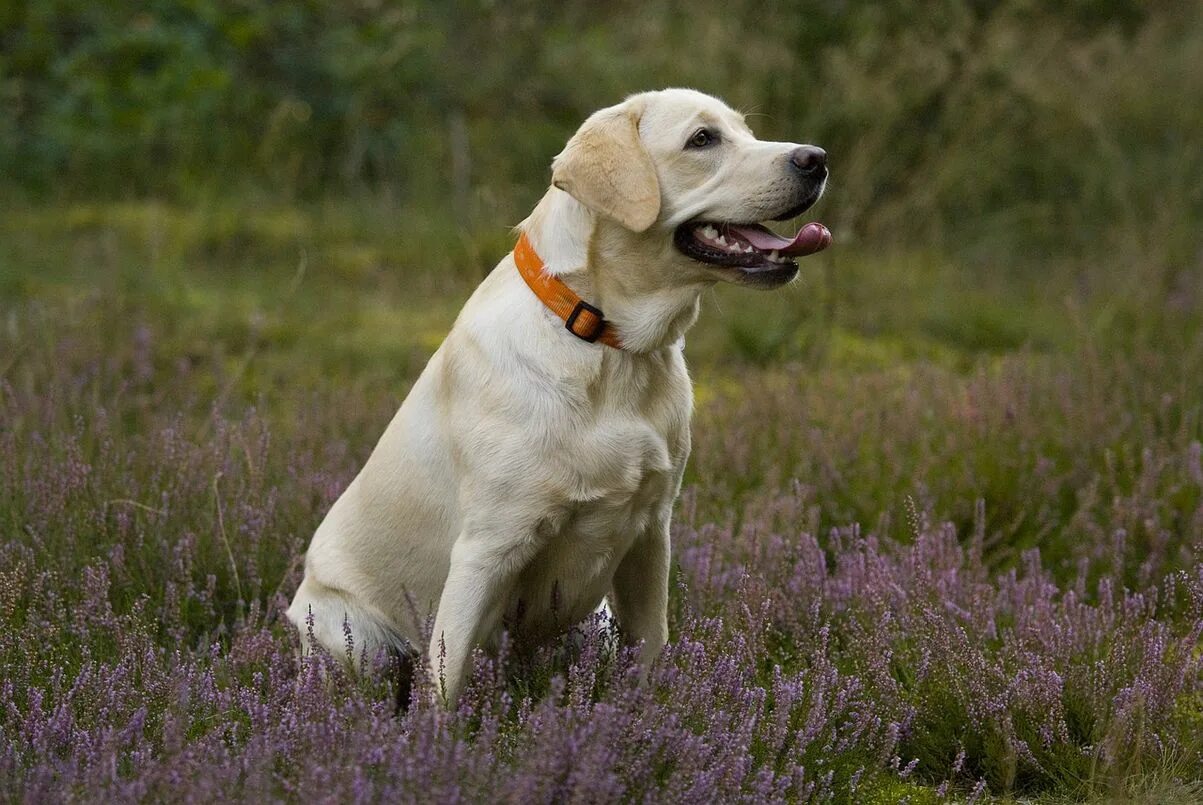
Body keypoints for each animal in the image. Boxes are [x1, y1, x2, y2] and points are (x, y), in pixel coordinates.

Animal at [289, 89, 832, 702]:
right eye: (702, 139)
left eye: (745, 131)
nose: (816, 158)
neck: (608, 344)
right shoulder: (486, 549)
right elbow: (445, 684)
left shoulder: (651, 533)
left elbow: (652, 648)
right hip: (355, 638)